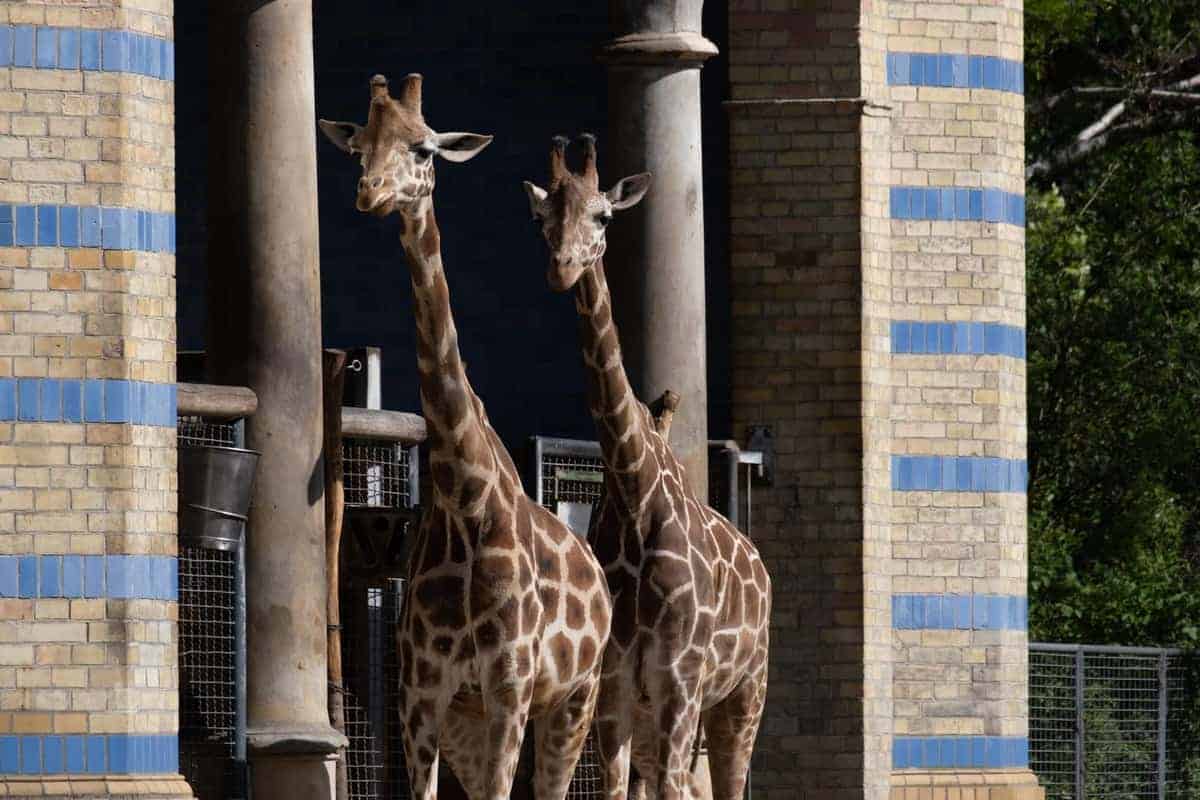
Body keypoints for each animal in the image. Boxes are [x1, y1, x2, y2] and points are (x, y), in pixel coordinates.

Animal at [318, 76, 612, 800]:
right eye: (361, 145)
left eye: (423, 148)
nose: (372, 192)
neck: (463, 493)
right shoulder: (422, 696)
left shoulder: (510, 688)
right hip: (470, 723)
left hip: (574, 700)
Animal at [522, 135, 772, 800]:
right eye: (542, 216)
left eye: (604, 216)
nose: (561, 268)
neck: (635, 491)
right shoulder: (614, 690)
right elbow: (614, 789)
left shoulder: (679, 683)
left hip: (743, 694)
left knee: (723, 782)